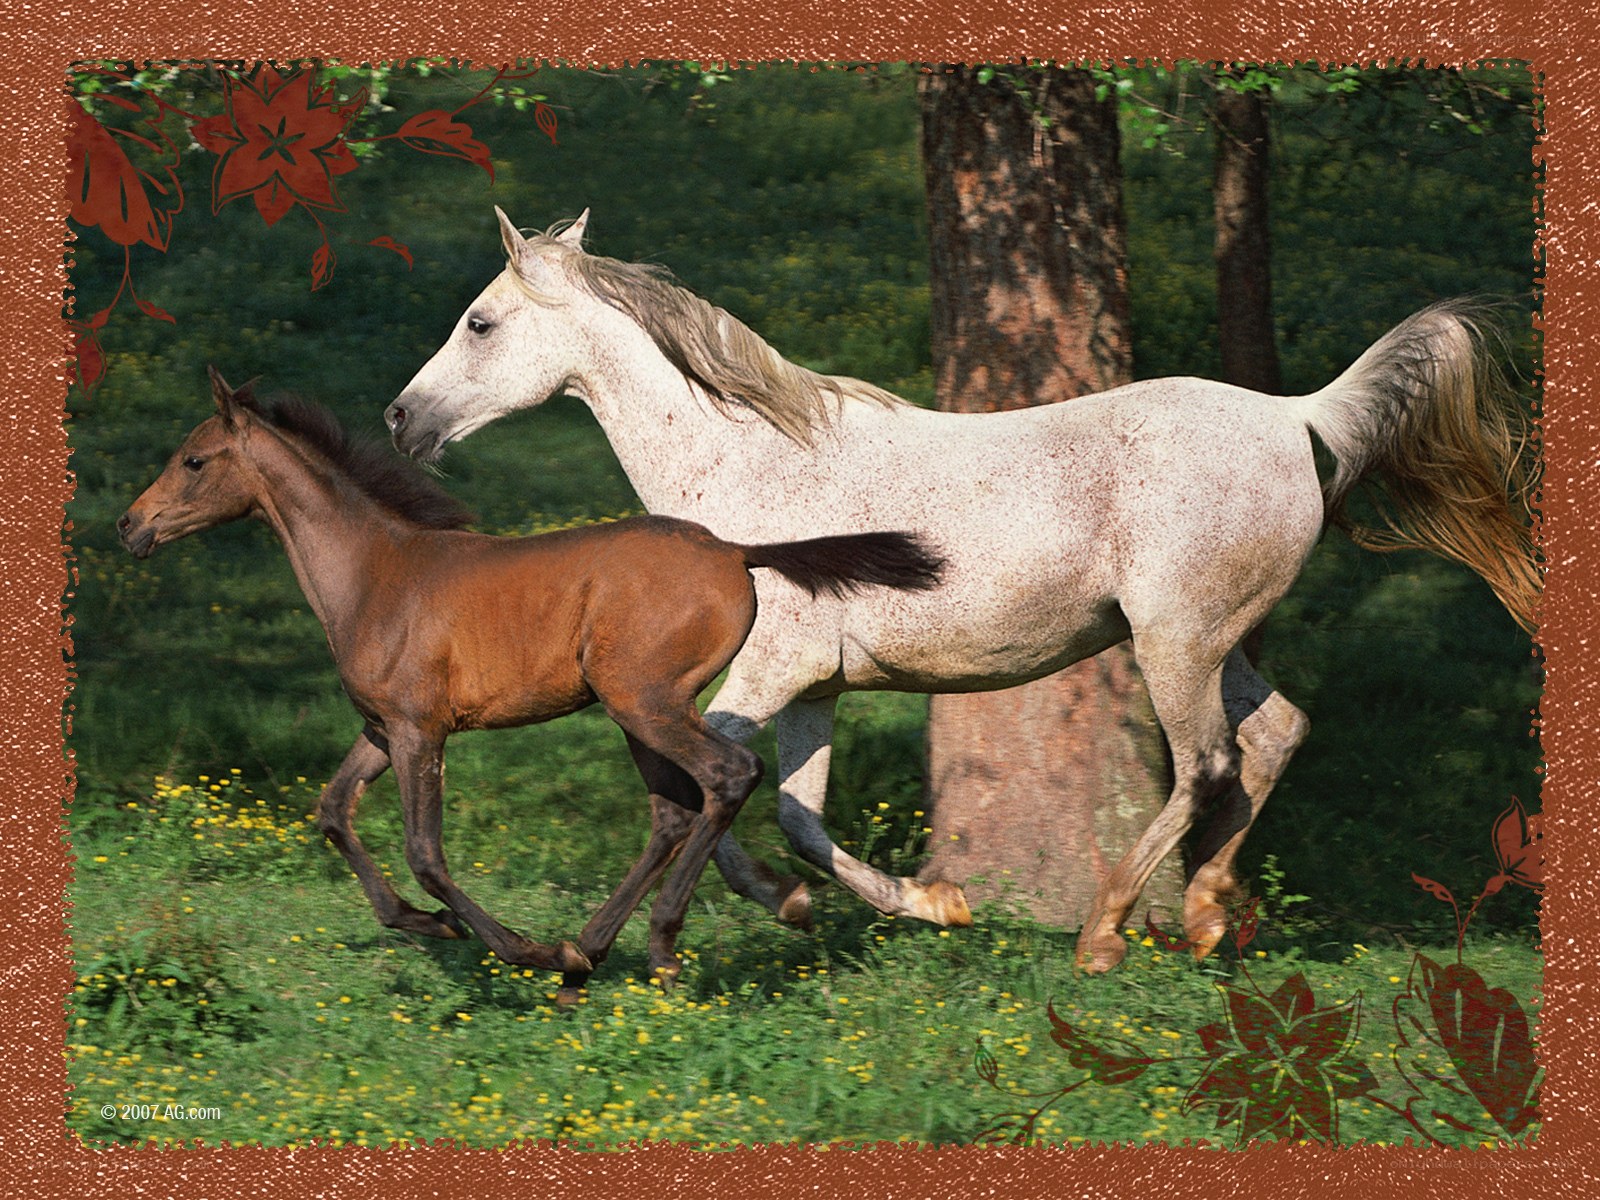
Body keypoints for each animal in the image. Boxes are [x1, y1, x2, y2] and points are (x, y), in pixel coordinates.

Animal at [117, 367, 944, 997]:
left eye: (194, 461)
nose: (130, 526)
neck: (375, 574)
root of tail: (736, 552)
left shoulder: (420, 732)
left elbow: (425, 853)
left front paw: (516, 948)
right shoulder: (380, 730)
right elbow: (331, 811)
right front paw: (425, 925)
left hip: (644, 702)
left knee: (728, 775)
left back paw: (655, 946)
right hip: (634, 709)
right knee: (673, 810)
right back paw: (588, 953)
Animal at [385, 208, 1539, 973]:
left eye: (480, 322)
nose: (400, 420)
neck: (753, 474)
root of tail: (1298, 415)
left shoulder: (767, 672)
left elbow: (719, 788)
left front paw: (820, 904)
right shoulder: (817, 688)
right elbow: (796, 816)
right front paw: (910, 905)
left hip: (1174, 640)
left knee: (1207, 764)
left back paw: (1107, 932)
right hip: (1215, 638)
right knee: (1276, 734)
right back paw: (1209, 913)